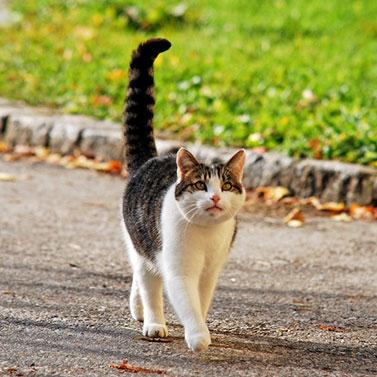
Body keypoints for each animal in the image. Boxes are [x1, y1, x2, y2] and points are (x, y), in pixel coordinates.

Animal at [120, 37, 244, 350]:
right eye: (200, 185)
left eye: (226, 186)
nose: (215, 198)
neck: (206, 235)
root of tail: (151, 160)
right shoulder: (179, 269)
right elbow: (187, 303)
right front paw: (198, 336)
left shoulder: (210, 272)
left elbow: (202, 300)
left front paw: (201, 324)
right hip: (143, 244)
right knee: (149, 284)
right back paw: (153, 323)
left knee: (140, 278)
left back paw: (138, 309)